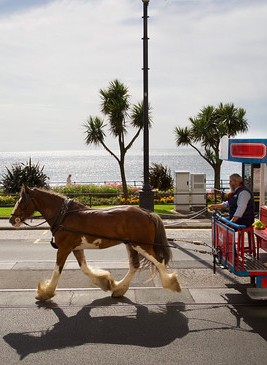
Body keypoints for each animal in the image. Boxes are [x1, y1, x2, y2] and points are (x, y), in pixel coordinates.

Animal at [9, 185, 182, 302]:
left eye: (21, 201)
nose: (11, 219)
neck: (64, 215)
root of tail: (148, 213)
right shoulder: (75, 248)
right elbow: (85, 268)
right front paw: (105, 281)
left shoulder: (63, 248)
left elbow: (57, 270)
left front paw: (46, 292)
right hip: (131, 245)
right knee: (135, 266)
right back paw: (119, 288)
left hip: (141, 245)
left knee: (159, 262)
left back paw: (171, 283)